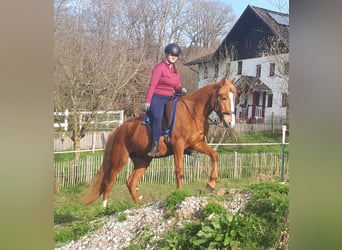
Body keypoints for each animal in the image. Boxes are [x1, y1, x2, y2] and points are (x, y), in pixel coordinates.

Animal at [83, 78, 238, 207]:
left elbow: (214, 155)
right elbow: (179, 171)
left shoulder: (196, 144)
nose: (230, 123)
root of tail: (119, 129)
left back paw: (138, 205)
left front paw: (211, 183)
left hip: (143, 161)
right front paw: (179, 193)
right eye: (223, 97)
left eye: (234, 97)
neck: (193, 113)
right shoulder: (178, 146)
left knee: (131, 183)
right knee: (108, 182)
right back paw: (105, 208)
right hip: (119, 160)